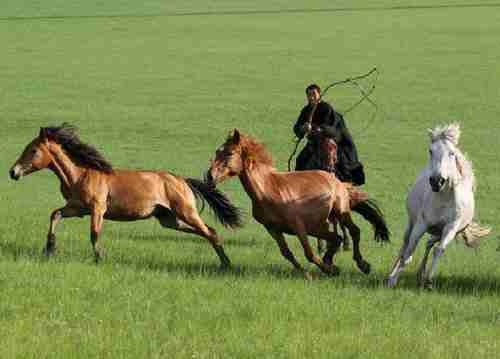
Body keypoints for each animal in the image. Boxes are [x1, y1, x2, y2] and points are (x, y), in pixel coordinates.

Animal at [7, 124, 242, 268]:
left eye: (33, 151)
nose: (13, 172)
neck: (80, 174)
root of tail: (182, 180)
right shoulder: (77, 208)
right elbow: (55, 214)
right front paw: (49, 249)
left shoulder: (97, 209)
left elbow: (94, 233)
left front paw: (99, 258)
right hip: (170, 220)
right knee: (207, 232)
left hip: (186, 212)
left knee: (211, 232)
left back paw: (227, 264)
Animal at [205, 130, 388, 278]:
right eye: (217, 151)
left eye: (229, 153)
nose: (209, 177)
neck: (269, 190)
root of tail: (338, 182)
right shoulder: (273, 229)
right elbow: (286, 252)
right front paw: (309, 272)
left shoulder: (298, 226)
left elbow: (309, 253)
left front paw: (326, 271)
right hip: (319, 226)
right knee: (336, 238)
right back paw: (330, 261)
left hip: (339, 213)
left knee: (353, 232)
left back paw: (362, 265)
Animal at [386, 124, 488, 290]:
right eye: (430, 151)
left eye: (452, 153)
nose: (436, 181)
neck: (444, 198)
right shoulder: (421, 224)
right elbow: (409, 252)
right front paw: (393, 280)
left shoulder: (450, 228)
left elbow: (439, 250)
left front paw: (428, 281)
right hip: (412, 223)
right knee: (405, 245)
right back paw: (393, 274)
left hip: (439, 232)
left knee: (430, 244)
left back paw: (420, 276)